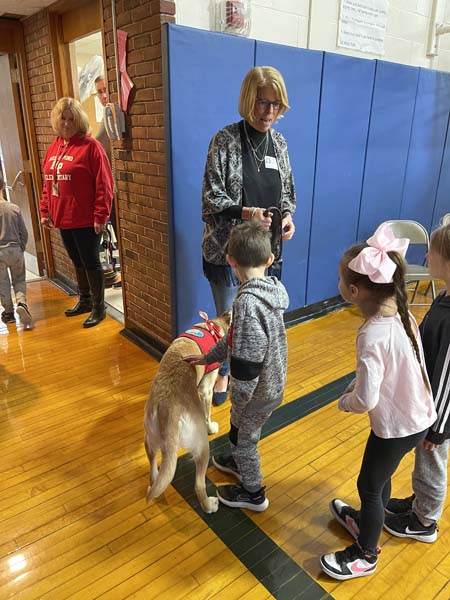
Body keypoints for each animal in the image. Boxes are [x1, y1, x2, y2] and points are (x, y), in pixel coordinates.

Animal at [144, 312, 230, 512]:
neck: (213, 326)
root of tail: (166, 408)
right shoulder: (206, 389)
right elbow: (207, 414)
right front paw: (211, 427)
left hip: (149, 439)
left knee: (153, 470)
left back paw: (153, 484)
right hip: (202, 446)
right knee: (198, 485)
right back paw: (209, 505)